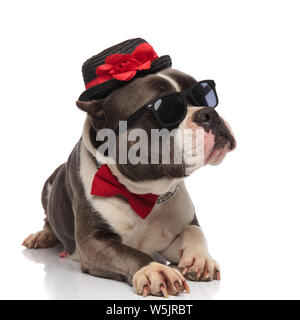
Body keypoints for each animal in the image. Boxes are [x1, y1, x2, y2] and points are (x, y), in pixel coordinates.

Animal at [22, 39, 236, 298]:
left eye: (205, 95)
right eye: (168, 109)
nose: (209, 113)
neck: (147, 194)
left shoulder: (177, 231)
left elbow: (195, 231)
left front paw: (200, 259)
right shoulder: (93, 243)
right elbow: (131, 253)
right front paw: (154, 269)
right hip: (48, 185)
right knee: (47, 219)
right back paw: (42, 236)